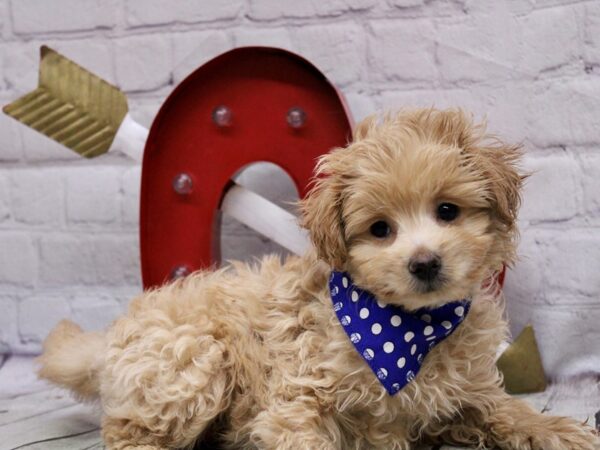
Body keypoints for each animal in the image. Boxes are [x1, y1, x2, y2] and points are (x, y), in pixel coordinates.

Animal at [38, 110, 600, 450]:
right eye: (380, 229)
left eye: (447, 211)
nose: (424, 263)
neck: (406, 330)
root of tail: (114, 338)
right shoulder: (299, 396)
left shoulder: (468, 394)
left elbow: (509, 413)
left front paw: (562, 430)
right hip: (193, 362)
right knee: (127, 431)